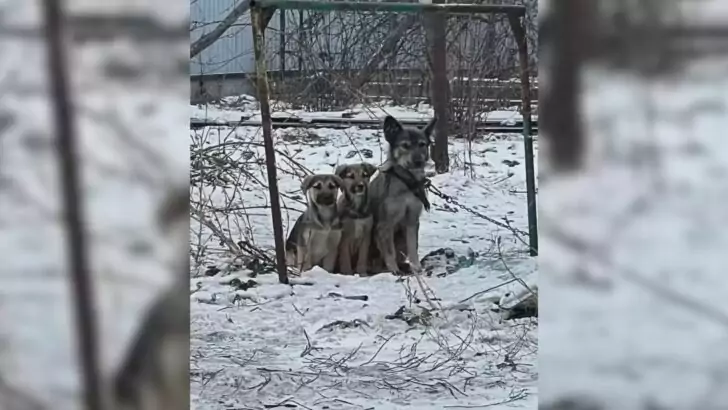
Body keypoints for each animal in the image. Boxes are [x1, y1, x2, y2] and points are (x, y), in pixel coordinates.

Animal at [366, 115, 436, 276]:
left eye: (422, 144)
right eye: (405, 145)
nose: (418, 161)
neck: (407, 183)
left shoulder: (412, 221)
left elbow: (413, 248)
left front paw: (417, 269)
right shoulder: (385, 224)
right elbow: (389, 251)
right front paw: (394, 270)